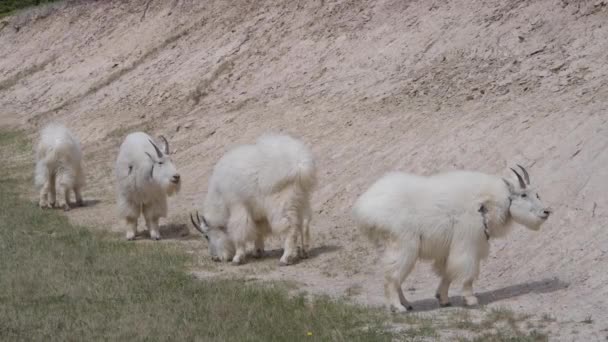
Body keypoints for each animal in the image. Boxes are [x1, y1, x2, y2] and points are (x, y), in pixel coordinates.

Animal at [190, 135, 316, 266]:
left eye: (206, 236)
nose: (214, 258)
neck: (220, 196)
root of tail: (300, 164)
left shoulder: (238, 206)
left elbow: (239, 231)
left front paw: (237, 258)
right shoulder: (257, 213)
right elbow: (258, 230)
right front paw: (257, 252)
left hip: (282, 203)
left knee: (290, 228)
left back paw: (286, 258)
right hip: (302, 199)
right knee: (304, 223)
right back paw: (304, 252)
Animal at [354, 166, 552, 312]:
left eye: (537, 194)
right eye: (523, 194)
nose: (546, 212)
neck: (486, 204)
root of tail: (364, 208)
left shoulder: (449, 248)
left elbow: (447, 272)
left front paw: (443, 299)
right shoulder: (468, 243)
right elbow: (467, 273)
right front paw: (470, 299)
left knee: (395, 276)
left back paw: (407, 304)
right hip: (404, 245)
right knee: (392, 276)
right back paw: (397, 307)